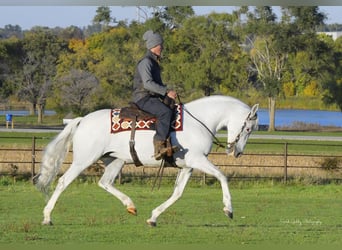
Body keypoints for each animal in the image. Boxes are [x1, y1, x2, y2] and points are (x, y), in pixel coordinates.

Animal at [35, 95, 260, 227]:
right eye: (248, 128)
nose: (237, 152)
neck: (199, 121)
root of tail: (82, 120)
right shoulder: (197, 160)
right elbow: (222, 176)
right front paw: (228, 209)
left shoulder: (187, 167)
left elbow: (177, 194)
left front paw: (153, 217)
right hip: (83, 160)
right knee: (63, 182)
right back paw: (47, 217)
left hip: (115, 161)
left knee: (104, 182)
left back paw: (130, 205)